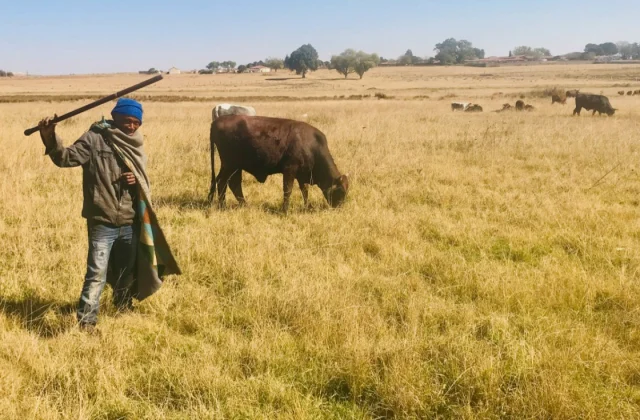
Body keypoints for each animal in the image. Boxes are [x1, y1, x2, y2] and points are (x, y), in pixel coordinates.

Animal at [208, 115, 349, 213]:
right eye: (341, 191)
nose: (339, 207)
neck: (311, 144)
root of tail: (217, 121)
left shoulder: (302, 175)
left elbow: (305, 191)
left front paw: (306, 206)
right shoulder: (289, 171)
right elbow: (288, 190)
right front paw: (285, 210)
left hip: (234, 167)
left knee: (232, 184)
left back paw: (243, 205)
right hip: (230, 166)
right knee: (223, 183)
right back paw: (223, 206)